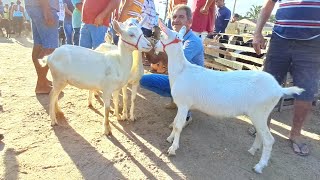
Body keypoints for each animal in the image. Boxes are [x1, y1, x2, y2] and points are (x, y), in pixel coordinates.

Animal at [154, 19, 304, 174]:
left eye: (162, 36)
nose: (155, 46)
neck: (181, 71)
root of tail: (279, 88)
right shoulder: (182, 105)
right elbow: (176, 122)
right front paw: (170, 138)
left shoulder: (184, 104)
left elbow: (178, 125)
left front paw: (172, 149)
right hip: (258, 114)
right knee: (260, 134)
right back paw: (252, 150)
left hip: (260, 112)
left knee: (269, 140)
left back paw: (259, 166)